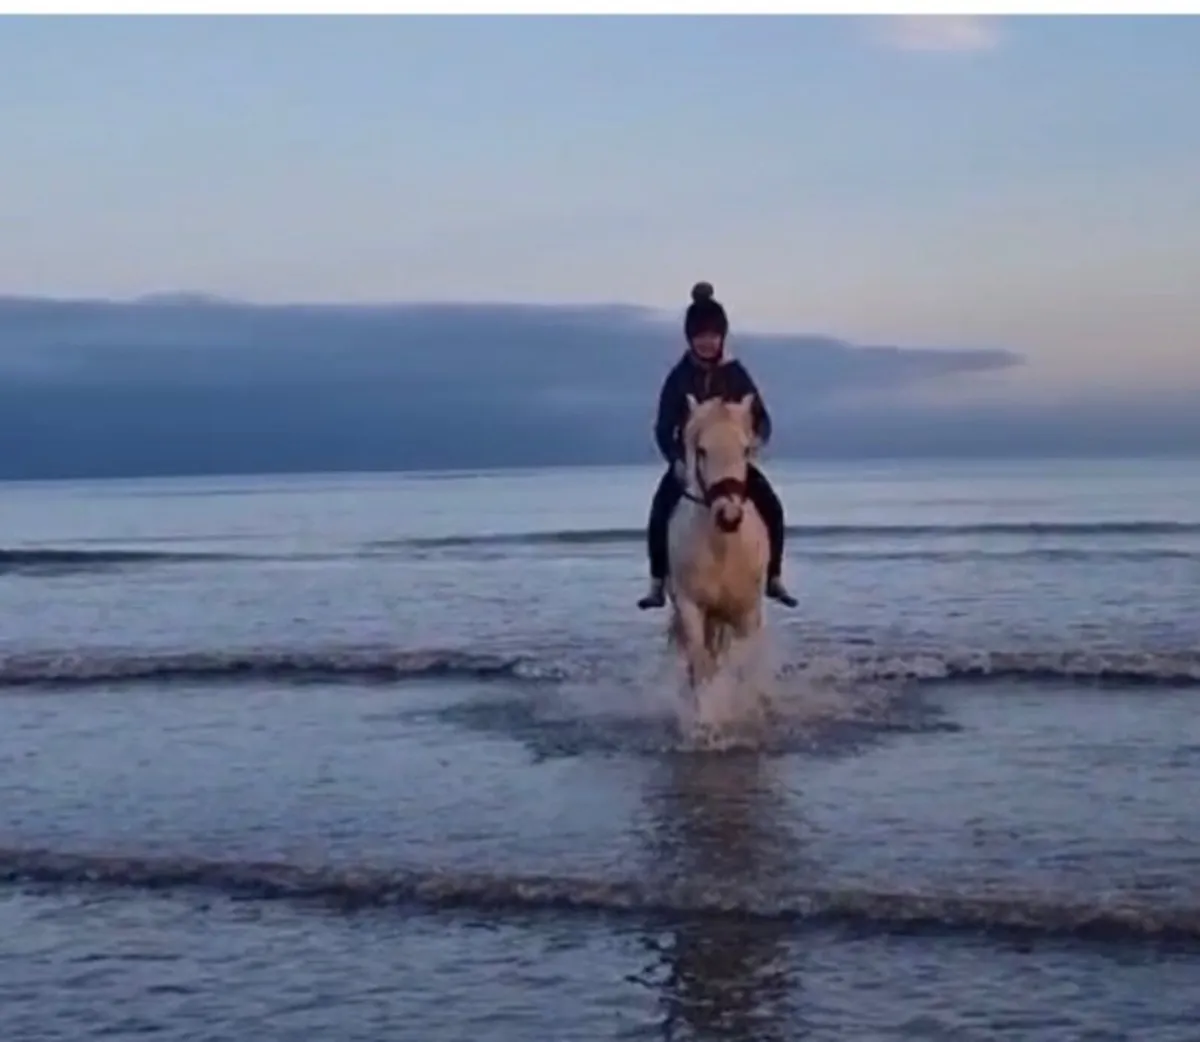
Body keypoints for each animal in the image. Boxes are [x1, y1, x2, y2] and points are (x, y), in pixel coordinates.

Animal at [665, 393, 771, 695]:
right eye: (701, 450)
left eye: (745, 450)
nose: (729, 516)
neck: (722, 547)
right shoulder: (691, 608)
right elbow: (701, 668)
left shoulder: (746, 612)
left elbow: (743, 667)